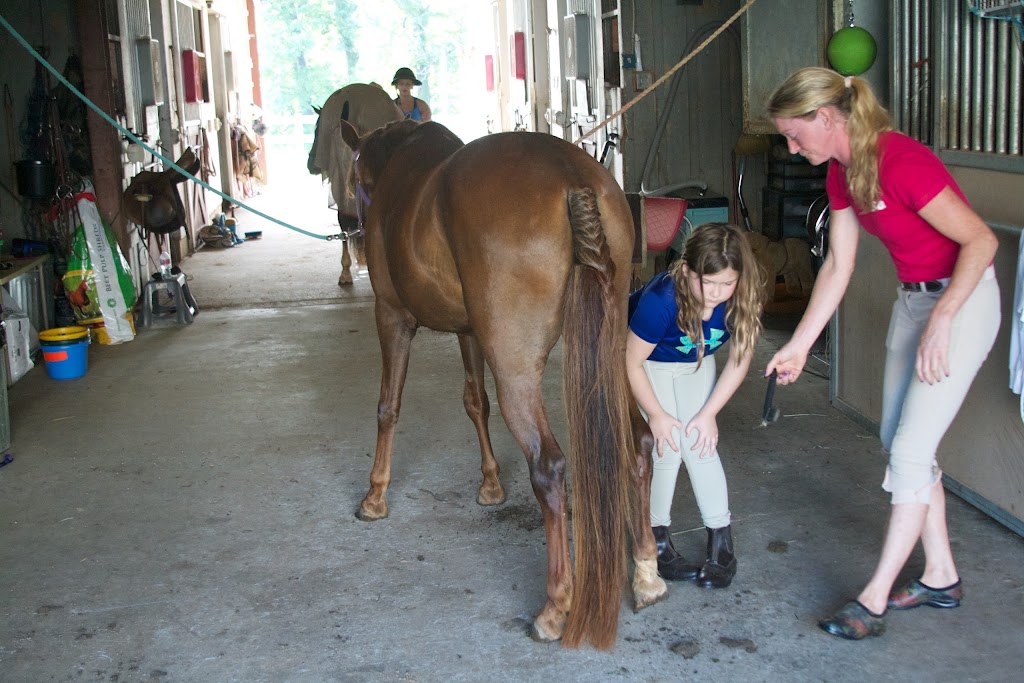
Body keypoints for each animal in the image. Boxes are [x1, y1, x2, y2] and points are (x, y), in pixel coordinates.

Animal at [339, 120, 667, 651]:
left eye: (354, 178)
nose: (350, 225)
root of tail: (571, 175)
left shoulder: (391, 316)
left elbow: (388, 405)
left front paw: (374, 496)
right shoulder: (469, 331)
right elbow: (476, 402)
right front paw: (491, 483)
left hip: (514, 364)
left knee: (549, 467)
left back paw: (555, 608)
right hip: (612, 350)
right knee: (637, 441)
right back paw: (645, 573)